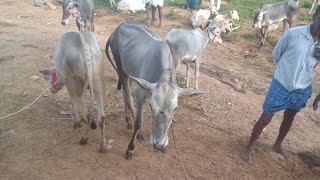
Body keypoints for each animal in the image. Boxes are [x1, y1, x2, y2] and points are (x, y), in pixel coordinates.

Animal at [105, 22, 205, 160]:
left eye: (175, 109)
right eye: (151, 106)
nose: (158, 144)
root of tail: (118, 27)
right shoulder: (141, 92)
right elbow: (138, 121)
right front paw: (130, 149)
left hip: (129, 71)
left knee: (125, 93)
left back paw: (128, 121)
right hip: (120, 66)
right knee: (128, 96)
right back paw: (136, 129)